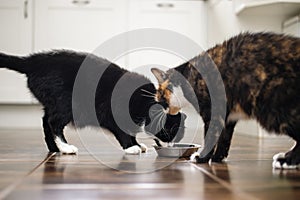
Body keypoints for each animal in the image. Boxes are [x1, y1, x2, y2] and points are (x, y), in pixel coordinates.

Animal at [0, 50, 185, 155]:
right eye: (169, 131)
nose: (171, 145)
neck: (145, 102)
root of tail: (33, 62)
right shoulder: (115, 113)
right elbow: (123, 132)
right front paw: (131, 147)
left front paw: (138, 144)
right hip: (65, 103)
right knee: (53, 122)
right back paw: (66, 147)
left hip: (52, 102)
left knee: (46, 121)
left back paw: (54, 148)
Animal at [152, 31, 300, 169]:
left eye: (160, 96)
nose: (160, 109)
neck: (188, 78)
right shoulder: (227, 117)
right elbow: (224, 138)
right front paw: (218, 157)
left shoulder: (213, 113)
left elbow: (211, 136)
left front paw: (202, 157)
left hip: (273, 110)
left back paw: (286, 160)